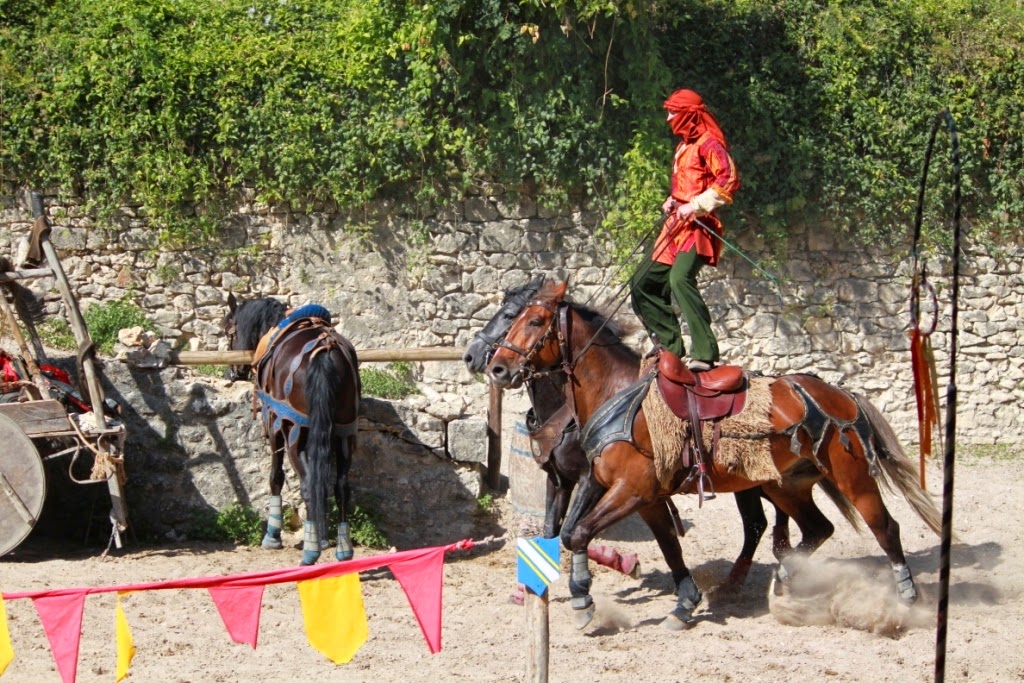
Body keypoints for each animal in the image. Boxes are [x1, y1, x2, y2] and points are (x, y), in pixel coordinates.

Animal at [223, 294, 360, 565]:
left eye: (228, 331)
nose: (233, 372)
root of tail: (324, 351)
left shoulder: (274, 422)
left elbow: (276, 476)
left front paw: (272, 536)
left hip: (294, 431)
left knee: (307, 483)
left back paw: (311, 551)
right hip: (344, 432)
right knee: (341, 486)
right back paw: (343, 549)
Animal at [487, 280, 942, 626]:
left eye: (533, 320)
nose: (495, 367)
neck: (618, 394)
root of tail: (843, 395)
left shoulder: (630, 489)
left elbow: (579, 532)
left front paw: (583, 601)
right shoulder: (636, 494)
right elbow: (662, 545)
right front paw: (685, 603)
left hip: (852, 478)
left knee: (885, 528)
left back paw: (906, 597)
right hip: (785, 486)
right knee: (817, 529)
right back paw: (784, 580)